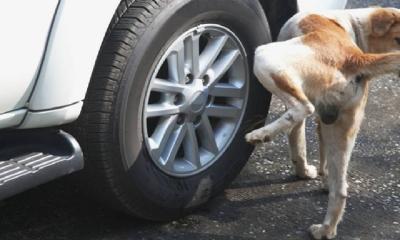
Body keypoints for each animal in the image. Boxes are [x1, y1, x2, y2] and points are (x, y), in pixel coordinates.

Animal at [245, 7, 400, 238]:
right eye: (398, 39)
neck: (353, 24)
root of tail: (355, 57)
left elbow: (298, 143)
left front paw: (303, 172)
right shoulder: (326, 123)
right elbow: (319, 157)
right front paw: (321, 178)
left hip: (266, 56)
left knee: (302, 108)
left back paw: (260, 134)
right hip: (342, 131)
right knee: (341, 190)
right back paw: (326, 229)